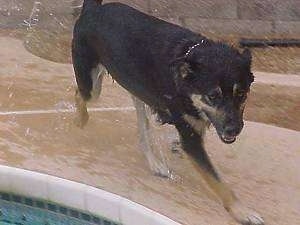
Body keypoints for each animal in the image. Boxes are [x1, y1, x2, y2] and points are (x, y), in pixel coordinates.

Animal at [72, 0, 264, 224]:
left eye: (241, 94)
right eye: (212, 96)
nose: (234, 129)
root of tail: (92, 9)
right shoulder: (191, 140)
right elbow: (217, 181)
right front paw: (241, 211)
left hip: (136, 90)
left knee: (143, 131)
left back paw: (156, 164)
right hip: (92, 86)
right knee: (79, 94)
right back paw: (81, 120)